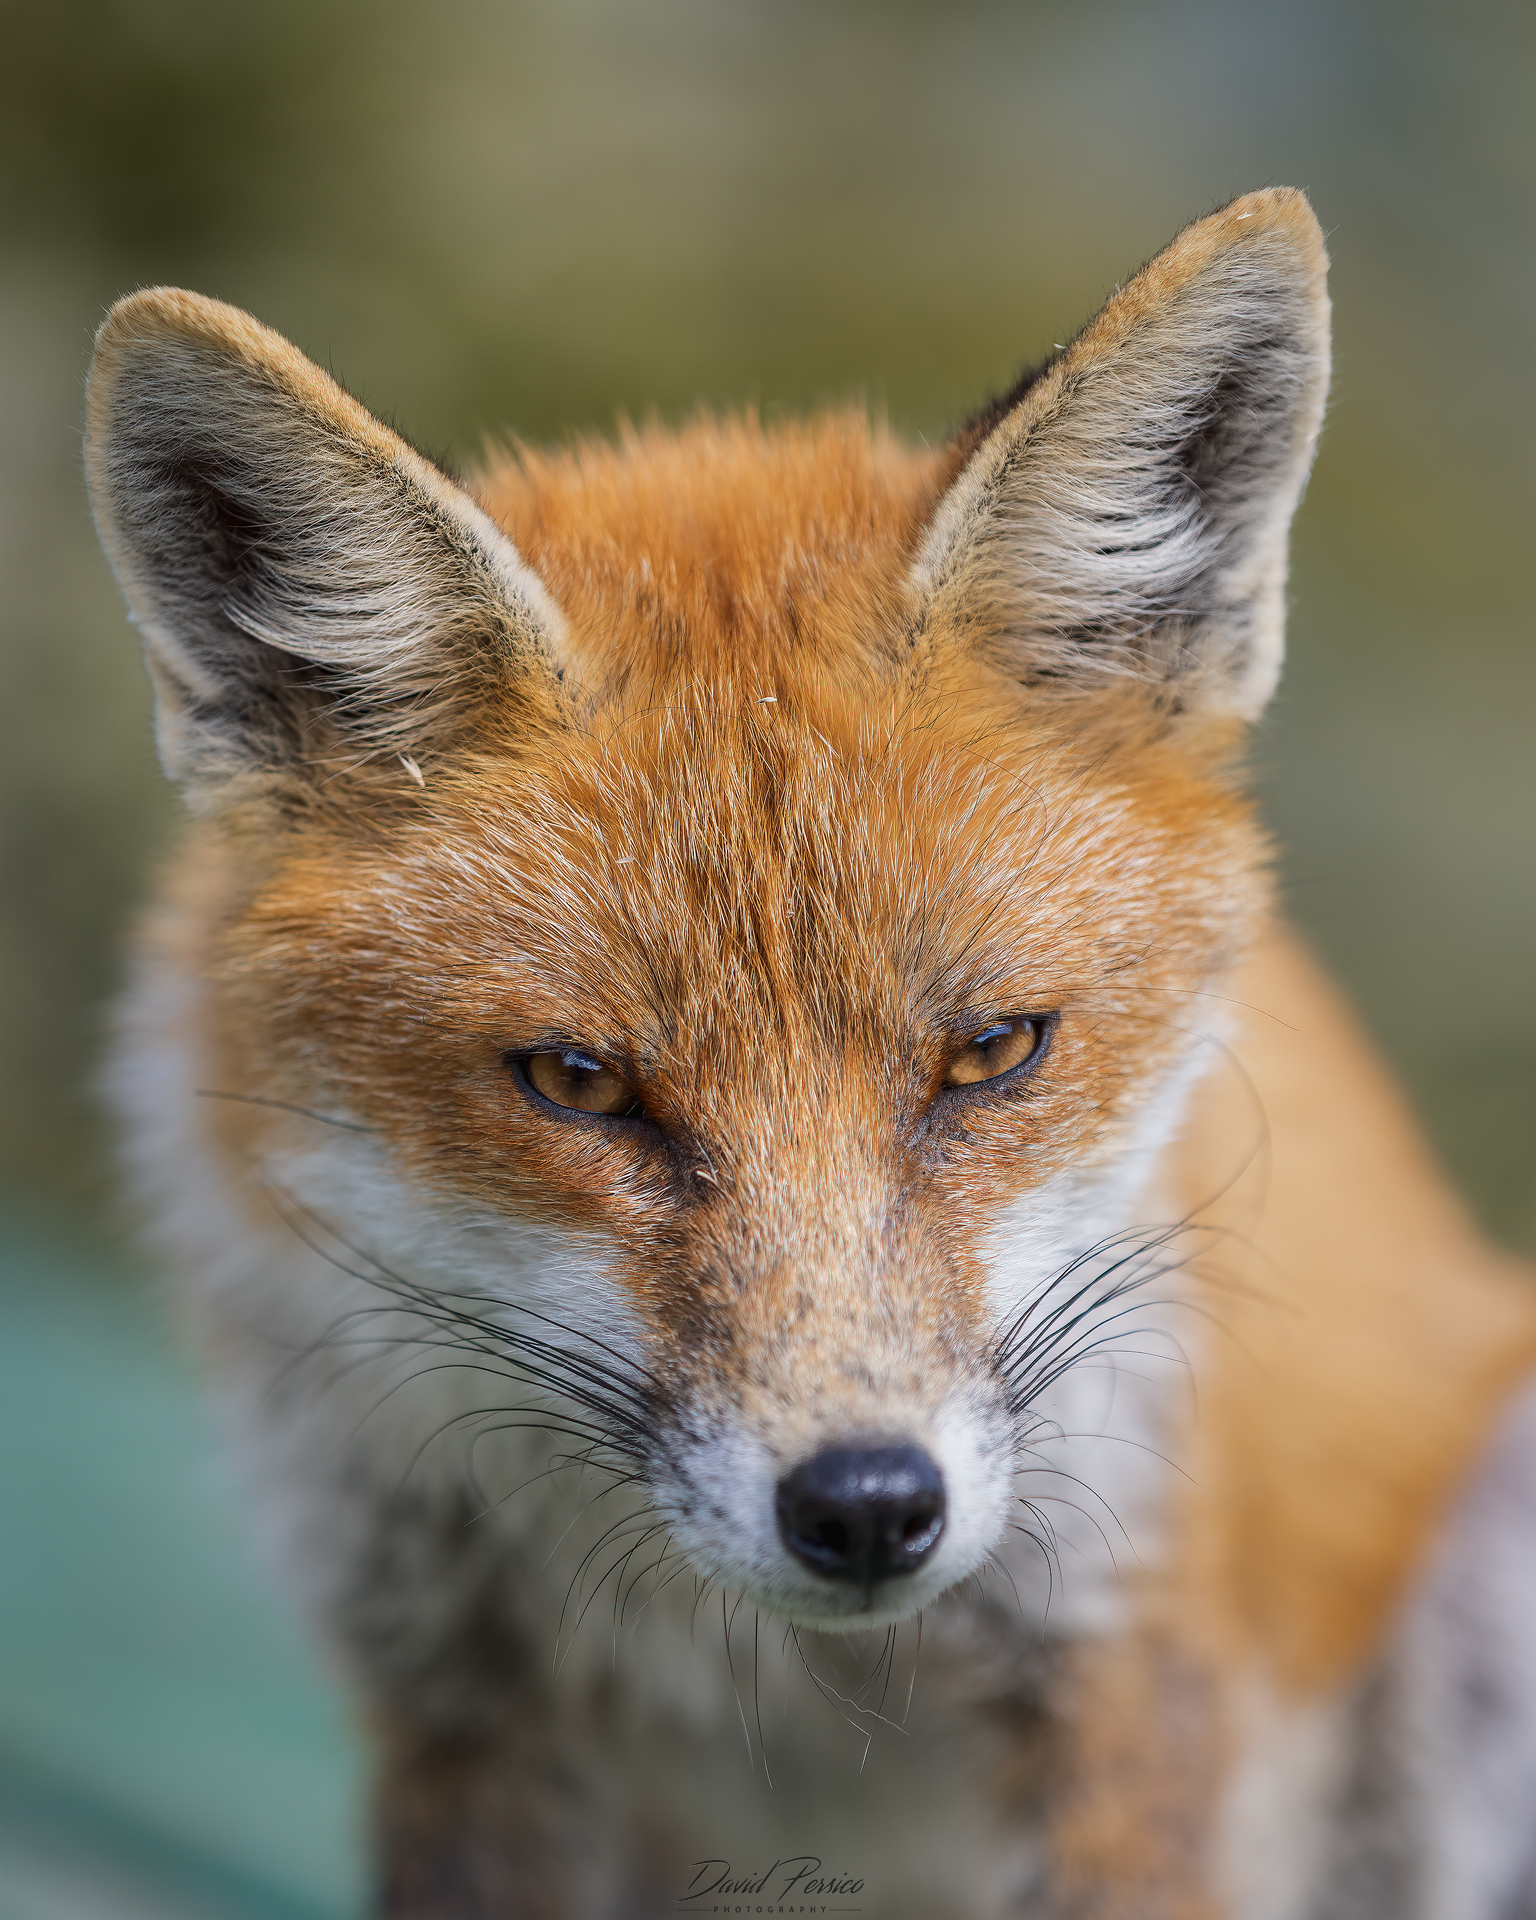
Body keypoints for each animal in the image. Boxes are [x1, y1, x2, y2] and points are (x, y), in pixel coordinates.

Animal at [84, 187, 1536, 1919]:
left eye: (992, 1051)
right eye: (579, 1083)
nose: (866, 1507)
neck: (769, 1672)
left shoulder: (1123, 1641)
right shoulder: (454, 1696)